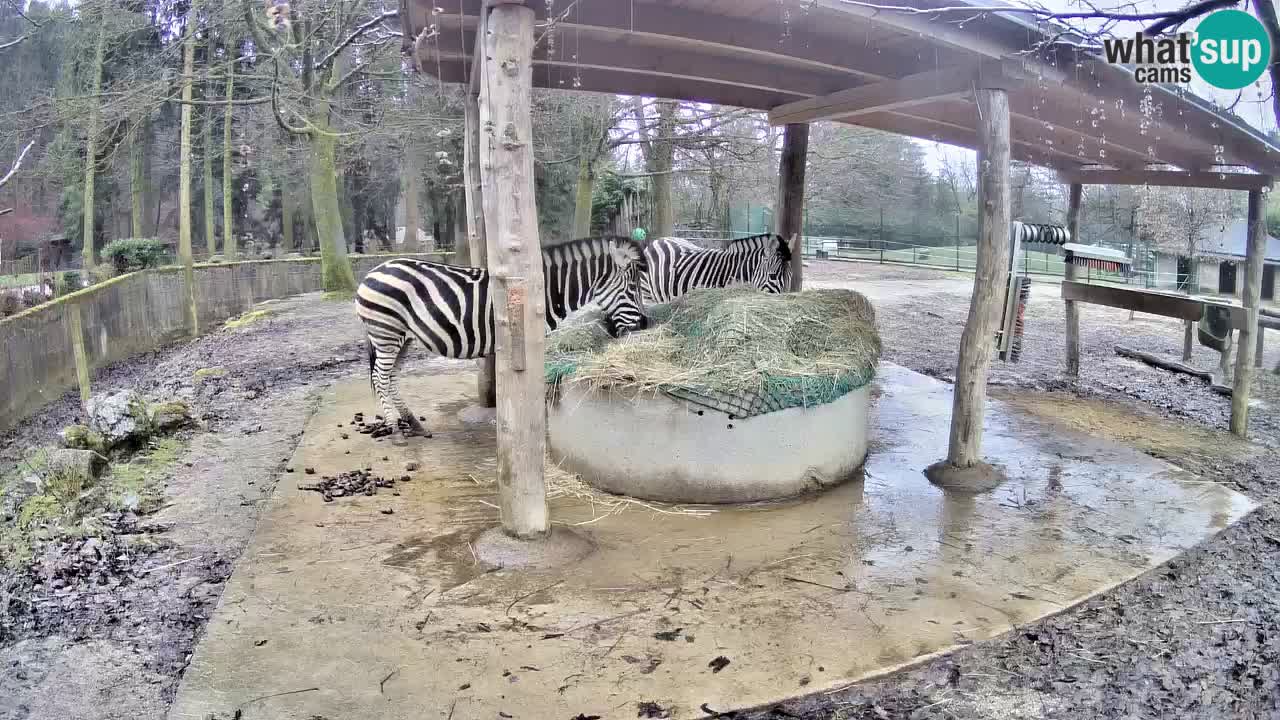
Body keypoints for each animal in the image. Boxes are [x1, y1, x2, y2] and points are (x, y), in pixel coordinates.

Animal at [353, 235, 645, 438]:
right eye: (632, 288)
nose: (645, 324)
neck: (544, 292)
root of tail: (372, 272)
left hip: (402, 337)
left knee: (391, 378)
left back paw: (413, 423)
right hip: (386, 332)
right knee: (380, 377)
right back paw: (395, 429)